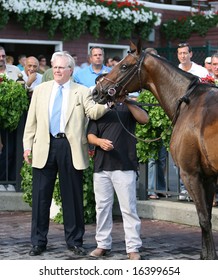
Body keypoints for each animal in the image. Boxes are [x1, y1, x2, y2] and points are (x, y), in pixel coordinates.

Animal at [92, 40, 218, 260]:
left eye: (124, 66)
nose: (97, 91)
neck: (189, 102)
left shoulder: (191, 174)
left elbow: (203, 218)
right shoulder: (208, 176)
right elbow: (207, 219)